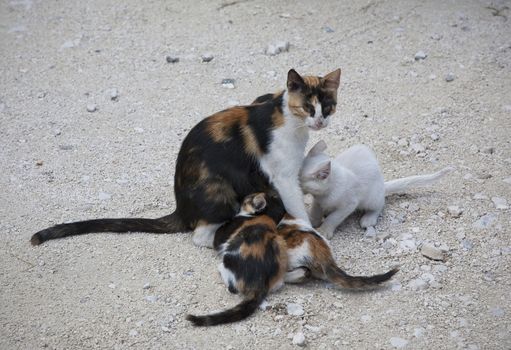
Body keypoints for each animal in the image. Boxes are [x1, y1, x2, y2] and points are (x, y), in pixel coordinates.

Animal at [31, 68, 340, 247]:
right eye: (307, 107)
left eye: (327, 106)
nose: (320, 121)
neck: (288, 117)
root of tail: (181, 208)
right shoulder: (284, 177)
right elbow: (298, 209)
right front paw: (313, 231)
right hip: (219, 190)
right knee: (201, 236)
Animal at [188, 191, 400, 326]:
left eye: (248, 196)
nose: (241, 195)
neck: (274, 216)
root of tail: (323, 254)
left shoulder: (223, 233)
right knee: (296, 276)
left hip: (239, 260)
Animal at [300, 139, 452, 238]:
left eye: (298, 180)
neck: (325, 193)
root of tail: (383, 184)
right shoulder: (318, 201)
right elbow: (315, 211)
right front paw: (312, 221)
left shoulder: (349, 204)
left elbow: (334, 218)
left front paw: (324, 231)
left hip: (371, 198)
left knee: (380, 205)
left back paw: (369, 218)